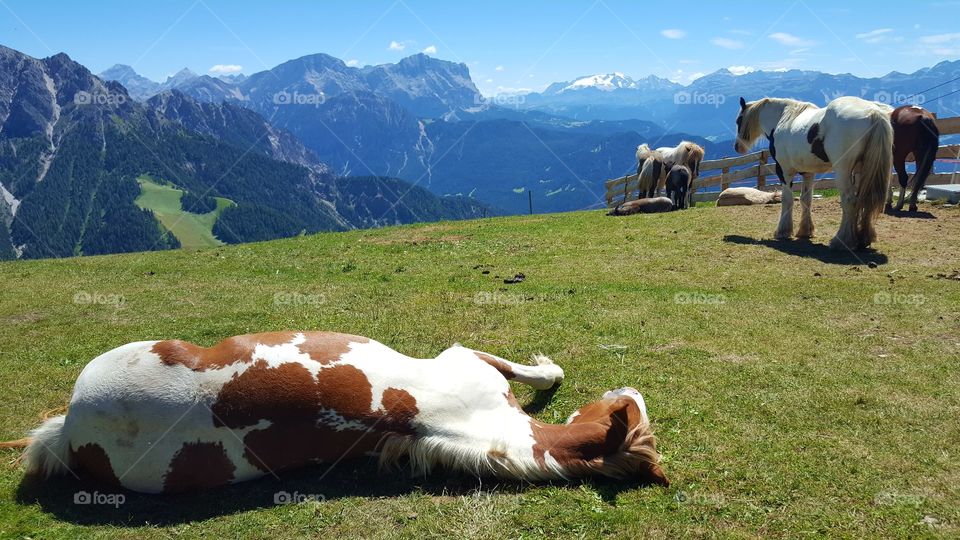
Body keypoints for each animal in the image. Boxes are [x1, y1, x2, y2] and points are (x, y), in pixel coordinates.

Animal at [734, 96, 893, 250]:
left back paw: (841, 240)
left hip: (844, 171)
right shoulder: (808, 173)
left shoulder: (784, 171)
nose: (737, 147)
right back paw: (863, 239)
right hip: (863, 171)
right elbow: (806, 200)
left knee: (850, 201)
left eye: (738, 120)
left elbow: (787, 200)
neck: (783, 118)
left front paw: (783, 231)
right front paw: (805, 231)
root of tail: (873, 112)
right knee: (865, 200)